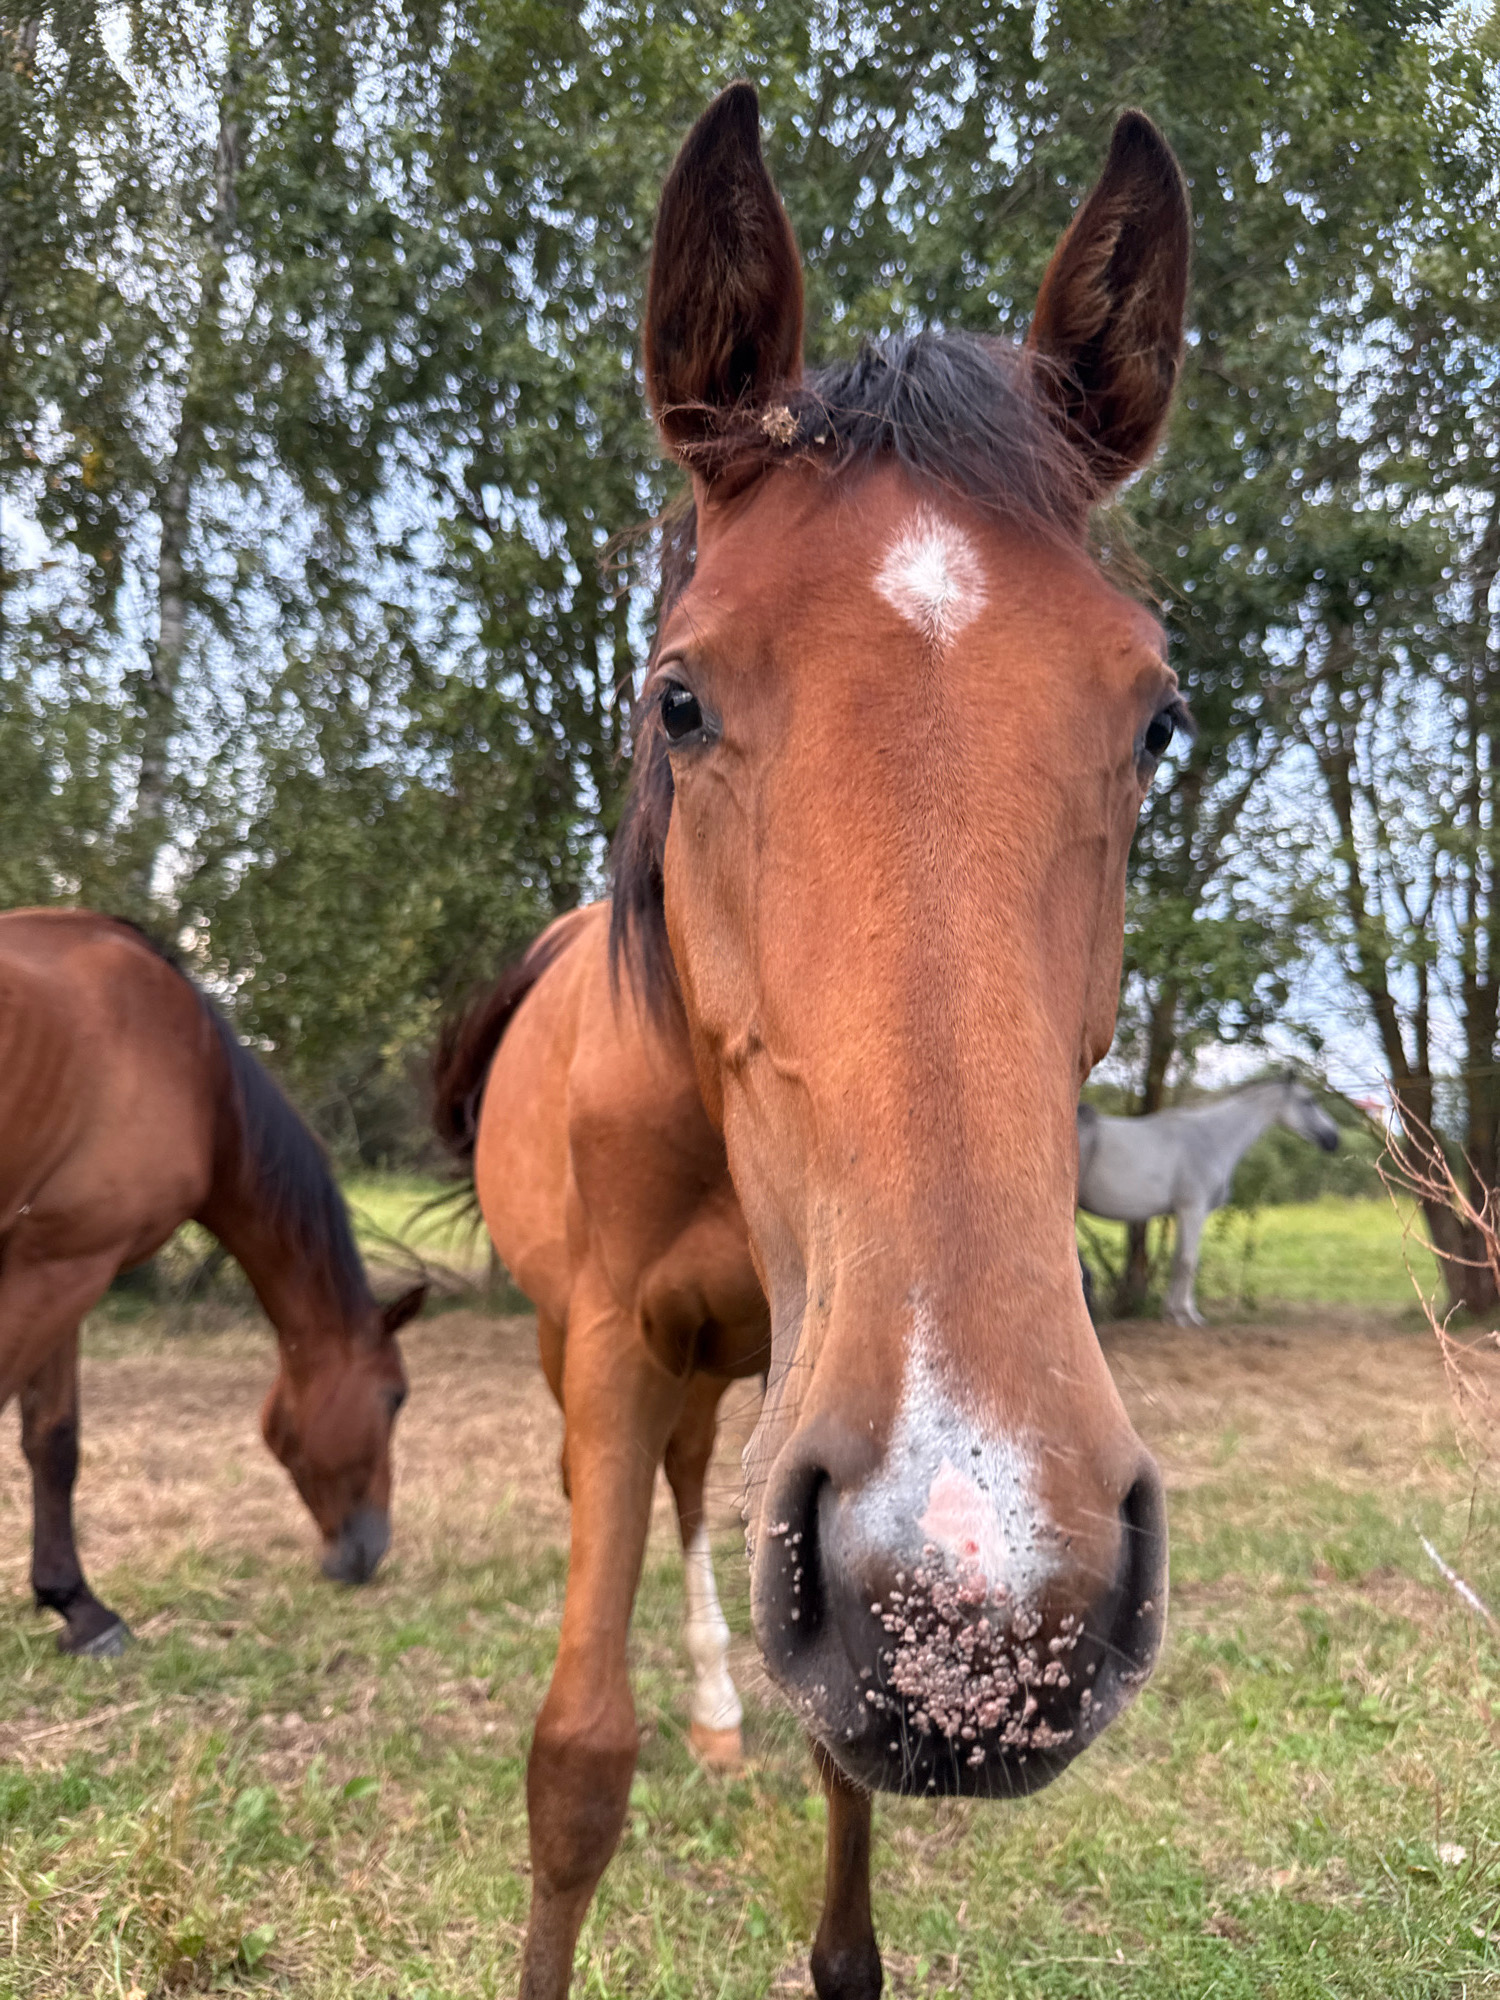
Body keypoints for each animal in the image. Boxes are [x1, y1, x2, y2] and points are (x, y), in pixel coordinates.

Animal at [0, 908, 424, 1655]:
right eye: (395, 1398)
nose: (369, 1551)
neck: (196, 1072)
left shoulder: (50, 1264)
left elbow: (51, 1439)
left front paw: (76, 1606)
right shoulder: (65, 1265)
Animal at [434, 83, 1192, 2000]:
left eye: (1159, 716)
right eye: (679, 698)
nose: (991, 1607)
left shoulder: (807, 1416)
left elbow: (839, 1752)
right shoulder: (621, 1350)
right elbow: (576, 1765)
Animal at [1077, 1077, 1341, 1325]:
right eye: (1308, 1101)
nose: (1333, 1139)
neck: (1209, 1138)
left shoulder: (1182, 1213)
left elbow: (1178, 1259)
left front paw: (1171, 1313)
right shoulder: (1194, 1210)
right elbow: (1189, 1261)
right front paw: (1188, 1315)